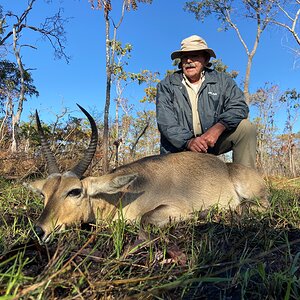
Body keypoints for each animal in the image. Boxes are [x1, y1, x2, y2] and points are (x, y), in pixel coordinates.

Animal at [27, 105, 268, 241]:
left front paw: (198, 215)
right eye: (44, 194)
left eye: (74, 191)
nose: (38, 230)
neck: (123, 193)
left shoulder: (170, 208)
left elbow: (145, 219)